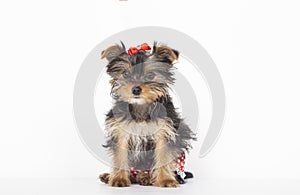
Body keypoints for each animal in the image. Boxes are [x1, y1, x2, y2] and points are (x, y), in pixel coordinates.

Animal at [99, 42, 196, 187]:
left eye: (150, 75)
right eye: (126, 74)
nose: (136, 89)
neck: (141, 106)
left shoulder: (164, 131)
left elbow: (163, 156)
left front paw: (165, 179)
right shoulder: (121, 131)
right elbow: (120, 154)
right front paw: (119, 178)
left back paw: (146, 177)